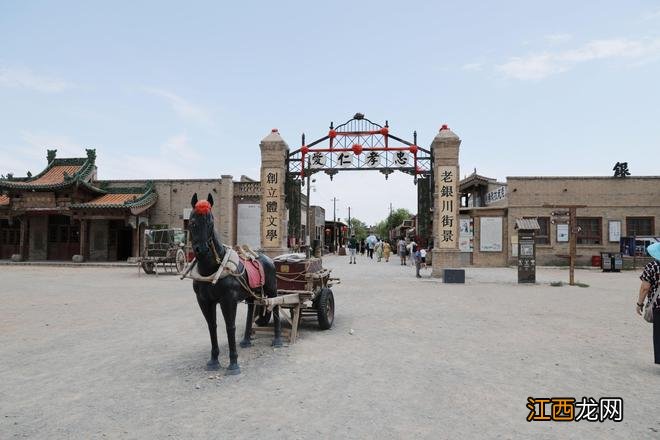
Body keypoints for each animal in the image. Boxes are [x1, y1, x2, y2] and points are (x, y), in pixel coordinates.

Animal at [186, 193, 282, 374]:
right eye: (192, 222)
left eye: (211, 222)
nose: (202, 250)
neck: (211, 270)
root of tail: (268, 258)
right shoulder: (203, 301)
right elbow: (212, 326)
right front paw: (214, 360)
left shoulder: (228, 300)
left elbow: (230, 327)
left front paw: (233, 363)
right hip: (252, 293)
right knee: (251, 310)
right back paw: (246, 341)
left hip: (272, 288)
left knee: (276, 306)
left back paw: (278, 340)